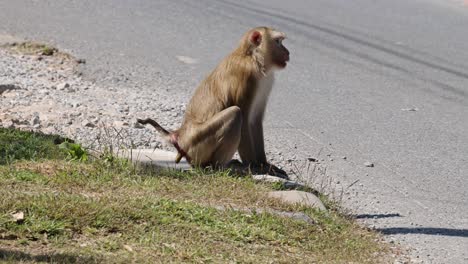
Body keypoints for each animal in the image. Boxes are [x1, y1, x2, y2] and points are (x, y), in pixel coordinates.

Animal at [137, 26, 288, 178]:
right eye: (278, 41)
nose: (288, 52)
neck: (251, 57)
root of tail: (180, 136)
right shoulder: (247, 77)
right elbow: (245, 121)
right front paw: (256, 166)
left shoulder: (266, 81)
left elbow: (255, 121)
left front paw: (265, 165)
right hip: (198, 143)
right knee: (235, 114)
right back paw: (216, 167)